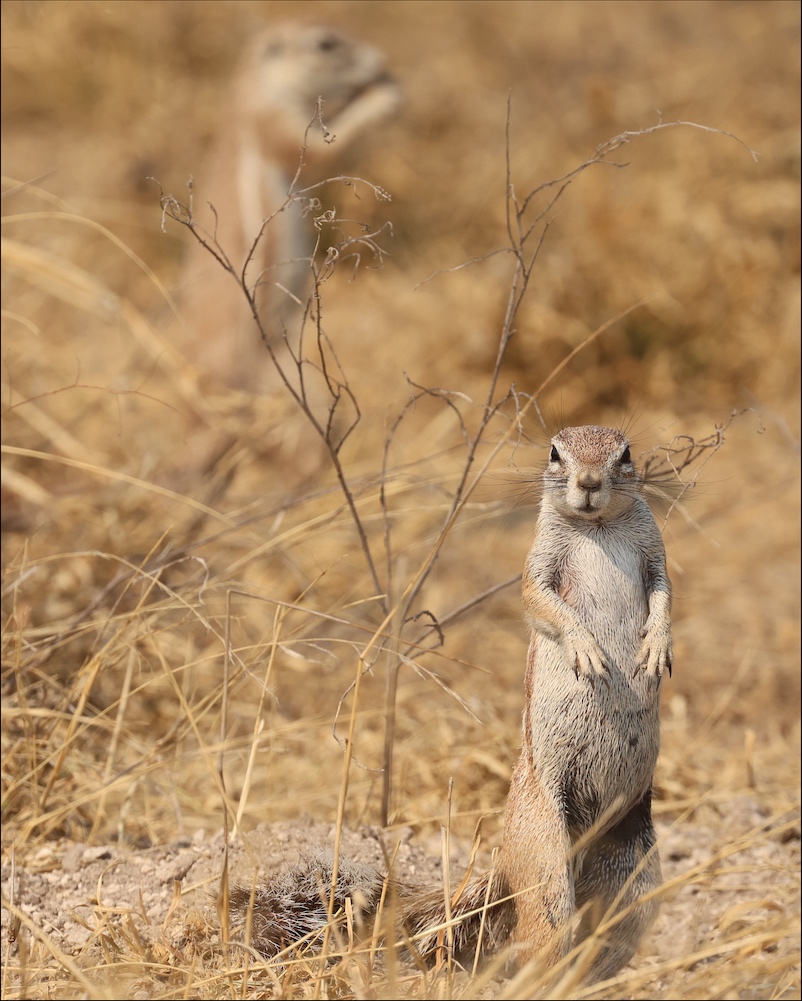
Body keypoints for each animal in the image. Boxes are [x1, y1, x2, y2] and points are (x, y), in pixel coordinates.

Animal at [173, 21, 401, 395]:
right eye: (325, 43)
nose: (382, 59)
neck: (251, 88)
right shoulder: (273, 118)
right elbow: (320, 151)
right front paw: (384, 96)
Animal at [229, 425, 673, 982]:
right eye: (555, 453)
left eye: (626, 453)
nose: (590, 483)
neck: (599, 526)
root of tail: (508, 863)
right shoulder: (538, 563)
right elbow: (542, 601)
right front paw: (586, 649)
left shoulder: (655, 552)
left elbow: (664, 595)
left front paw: (657, 647)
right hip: (547, 867)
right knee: (539, 940)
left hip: (636, 875)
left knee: (607, 935)